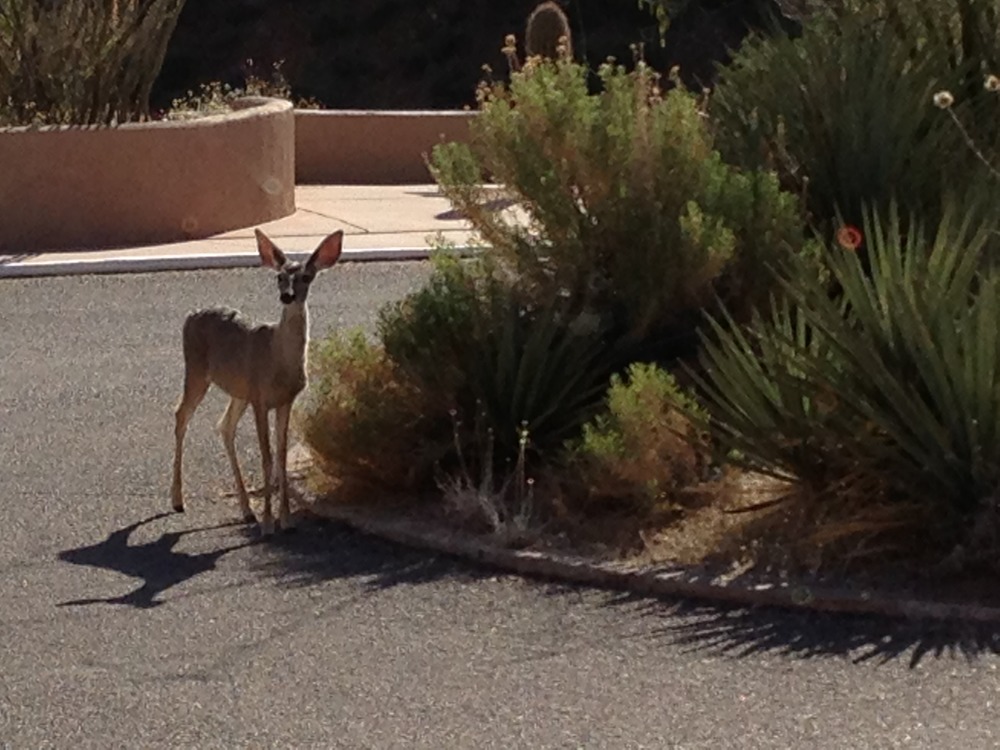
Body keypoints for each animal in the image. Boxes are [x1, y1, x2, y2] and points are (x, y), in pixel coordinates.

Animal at [170, 229, 343, 536]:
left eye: (306, 276)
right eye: (279, 277)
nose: (287, 296)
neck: (280, 363)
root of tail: (191, 315)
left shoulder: (285, 400)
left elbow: (282, 455)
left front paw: (285, 519)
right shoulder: (261, 399)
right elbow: (267, 455)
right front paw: (268, 523)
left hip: (239, 390)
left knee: (224, 425)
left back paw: (246, 510)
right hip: (197, 371)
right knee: (181, 416)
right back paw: (178, 501)